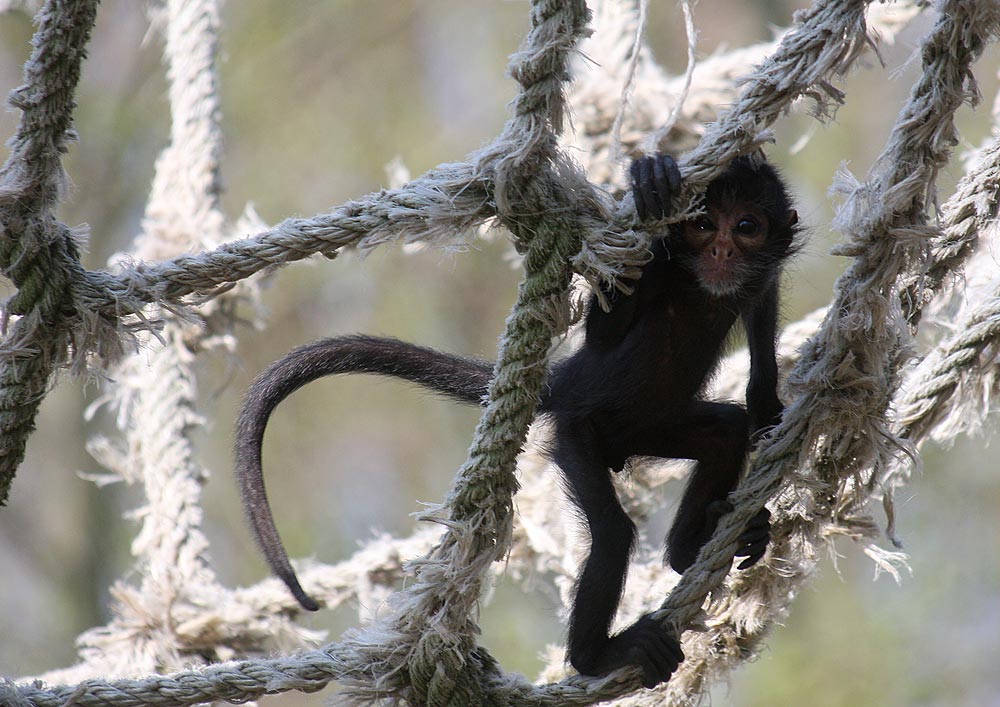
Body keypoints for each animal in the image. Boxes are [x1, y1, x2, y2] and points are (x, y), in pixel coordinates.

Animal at [232, 152, 796, 688]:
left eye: (746, 226)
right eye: (703, 224)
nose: (721, 252)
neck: (702, 286)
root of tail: (569, 379)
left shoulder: (758, 273)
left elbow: (763, 302)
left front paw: (766, 401)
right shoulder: (661, 270)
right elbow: (609, 327)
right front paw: (651, 186)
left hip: (651, 427)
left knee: (724, 432)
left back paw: (690, 550)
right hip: (580, 431)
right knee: (613, 531)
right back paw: (597, 656)